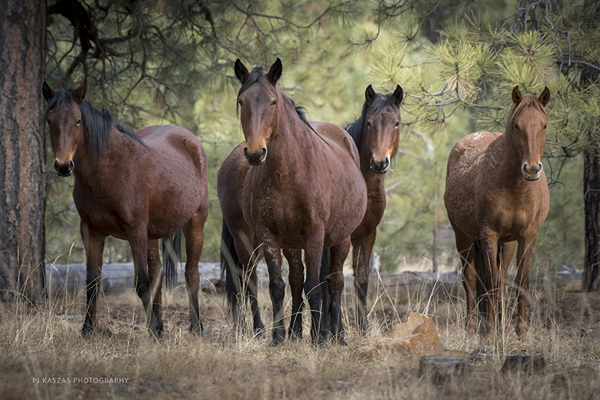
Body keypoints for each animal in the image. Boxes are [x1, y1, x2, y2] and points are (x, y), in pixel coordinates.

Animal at [43, 80, 210, 338]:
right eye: (49, 120)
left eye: (78, 121)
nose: (63, 165)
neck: (109, 168)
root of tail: (190, 139)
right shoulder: (91, 231)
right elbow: (92, 282)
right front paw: (87, 330)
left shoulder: (135, 232)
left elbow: (141, 284)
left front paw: (154, 330)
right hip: (152, 234)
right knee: (157, 273)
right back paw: (161, 326)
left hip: (195, 223)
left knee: (191, 273)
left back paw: (197, 327)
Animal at [221, 57, 366, 346]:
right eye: (242, 101)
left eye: (272, 102)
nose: (255, 153)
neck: (288, 173)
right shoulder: (269, 234)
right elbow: (278, 286)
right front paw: (278, 337)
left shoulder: (315, 234)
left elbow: (315, 287)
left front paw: (319, 338)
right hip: (262, 240)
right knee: (270, 280)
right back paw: (280, 330)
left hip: (340, 239)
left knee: (334, 283)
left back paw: (337, 336)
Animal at [318, 83, 404, 332]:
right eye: (369, 123)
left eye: (396, 123)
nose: (379, 162)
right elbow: (331, 279)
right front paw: (333, 330)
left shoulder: (367, 235)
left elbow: (362, 280)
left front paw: (362, 328)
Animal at [442, 85, 552, 338]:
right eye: (517, 125)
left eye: (544, 125)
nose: (532, 169)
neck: (516, 187)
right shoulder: (489, 235)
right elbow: (489, 282)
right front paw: (493, 331)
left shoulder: (527, 236)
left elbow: (520, 281)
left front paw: (520, 330)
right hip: (463, 237)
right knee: (471, 279)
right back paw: (474, 327)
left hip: (507, 242)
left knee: (500, 280)